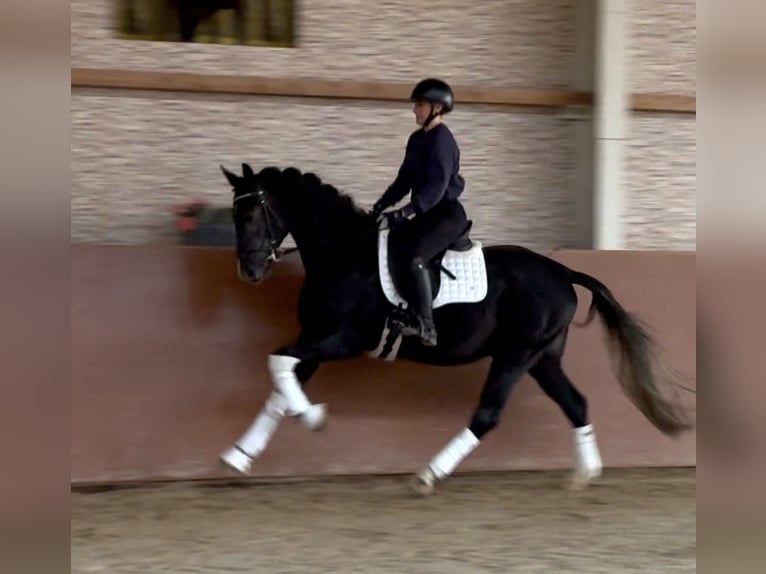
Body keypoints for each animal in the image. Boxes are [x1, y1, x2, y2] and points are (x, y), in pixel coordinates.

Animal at [218, 163, 696, 496]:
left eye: (252, 214)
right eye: (234, 215)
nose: (250, 271)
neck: (344, 255)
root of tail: (563, 272)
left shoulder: (341, 341)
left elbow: (278, 364)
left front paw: (313, 417)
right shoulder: (316, 339)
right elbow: (280, 384)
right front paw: (238, 456)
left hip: (515, 357)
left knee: (488, 415)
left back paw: (429, 475)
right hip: (542, 358)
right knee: (575, 404)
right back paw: (585, 474)